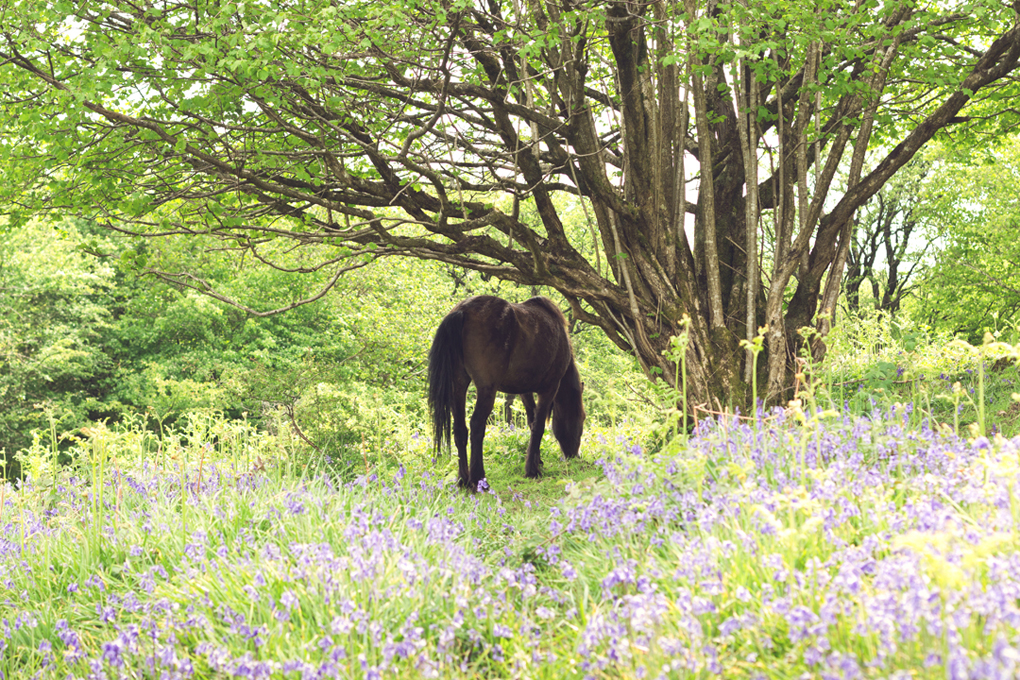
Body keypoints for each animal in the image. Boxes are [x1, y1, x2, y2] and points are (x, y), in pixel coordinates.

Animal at [426, 295, 587, 491]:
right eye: (582, 418)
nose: (574, 455)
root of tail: (463, 310)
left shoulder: (525, 391)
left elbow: (532, 422)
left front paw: (537, 461)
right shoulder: (549, 388)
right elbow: (539, 426)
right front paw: (532, 470)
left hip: (458, 385)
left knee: (460, 430)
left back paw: (463, 480)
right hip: (486, 390)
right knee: (476, 426)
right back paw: (479, 480)